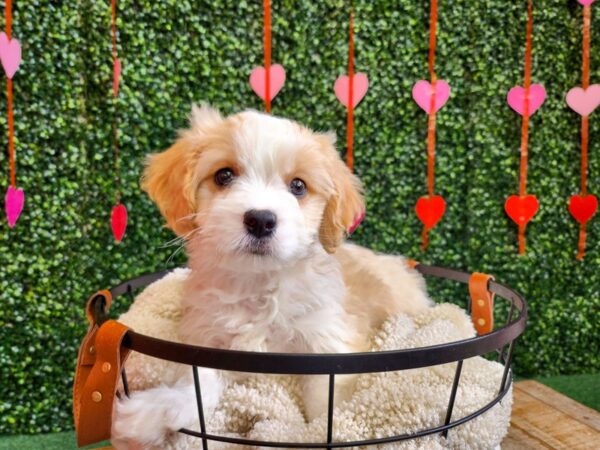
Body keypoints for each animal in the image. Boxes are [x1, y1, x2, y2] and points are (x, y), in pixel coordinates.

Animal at [111, 106, 432, 450]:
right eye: (224, 175)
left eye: (299, 186)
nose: (261, 220)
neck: (260, 284)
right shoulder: (212, 342)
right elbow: (199, 381)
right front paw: (151, 414)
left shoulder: (328, 342)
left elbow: (325, 406)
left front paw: (325, 433)